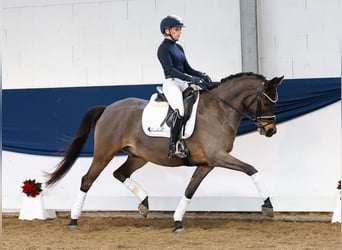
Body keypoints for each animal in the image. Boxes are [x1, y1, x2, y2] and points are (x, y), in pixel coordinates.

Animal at [46, 72, 284, 232]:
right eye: (265, 101)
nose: (270, 131)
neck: (220, 110)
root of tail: (108, 108)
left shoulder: (207, 163)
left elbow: (190, 190)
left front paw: (178, 222)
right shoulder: (217, 157)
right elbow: (252, 169)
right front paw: (268, 206)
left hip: (139, 156)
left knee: (120, 173)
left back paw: (144, 204)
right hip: (104, 153)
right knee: (87, 180)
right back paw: (73, 220)